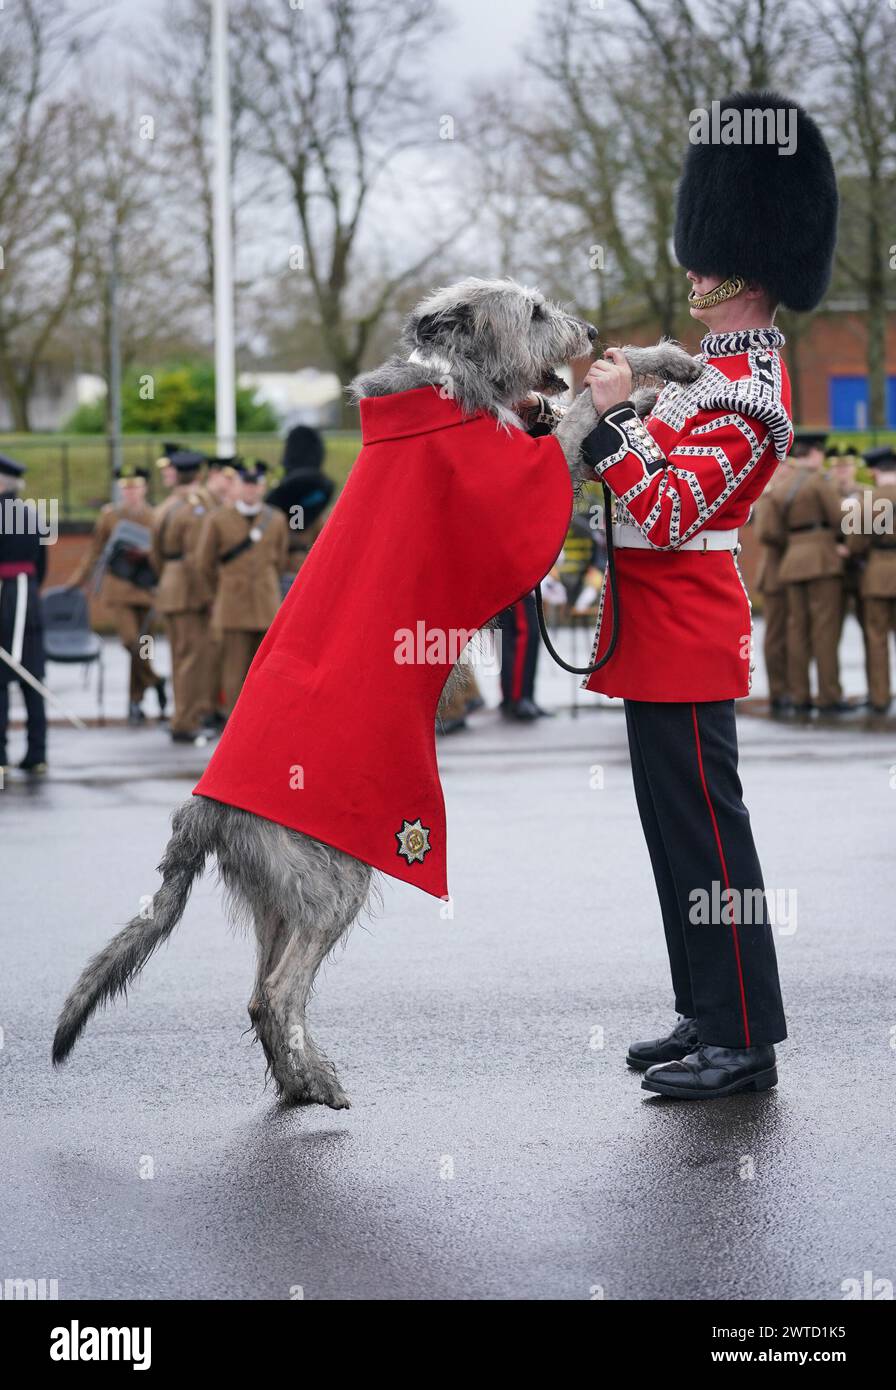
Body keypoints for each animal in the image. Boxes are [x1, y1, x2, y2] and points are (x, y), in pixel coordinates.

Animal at [54, 276, 700, 1112]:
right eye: (532, 311)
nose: (588, 329)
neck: (448, 389)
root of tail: (203, 811)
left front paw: (659, 379)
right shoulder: (523, 482)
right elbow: (584, 412)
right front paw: (647, 368)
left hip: (278, 894)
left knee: (259, 990)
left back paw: (300, 1083)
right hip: (334, 876)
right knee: (279, 991)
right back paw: (317, 1082)